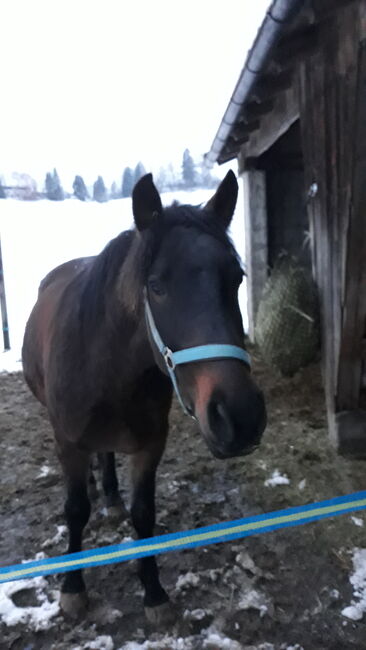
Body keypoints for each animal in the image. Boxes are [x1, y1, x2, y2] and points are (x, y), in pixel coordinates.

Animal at [22, 171, 266, 624]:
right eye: (156, 286)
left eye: (237, 278)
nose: (240, 417)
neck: (107, 367)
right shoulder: (68, 442)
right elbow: (75, 510)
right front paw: (73, 588)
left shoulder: (151, 444)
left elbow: (143, 514)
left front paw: (153, 591)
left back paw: (111, 496)